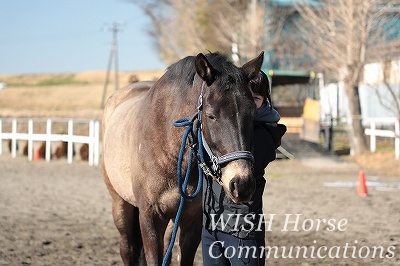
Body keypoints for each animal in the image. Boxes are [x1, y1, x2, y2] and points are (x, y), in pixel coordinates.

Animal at [101, 51, 264, 264]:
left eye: (252, 115)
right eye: (211, 115)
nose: (242, 184)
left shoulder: (191, 220)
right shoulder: (149, 218)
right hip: (120, 203)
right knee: (127, 249)